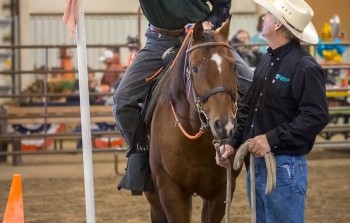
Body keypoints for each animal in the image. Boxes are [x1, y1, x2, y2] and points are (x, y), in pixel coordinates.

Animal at [144, 20, 241, 222]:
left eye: (234, 66)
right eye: (195, 68)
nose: (225, 125)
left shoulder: (220, 194)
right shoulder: (170, 191)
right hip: (154, 197)